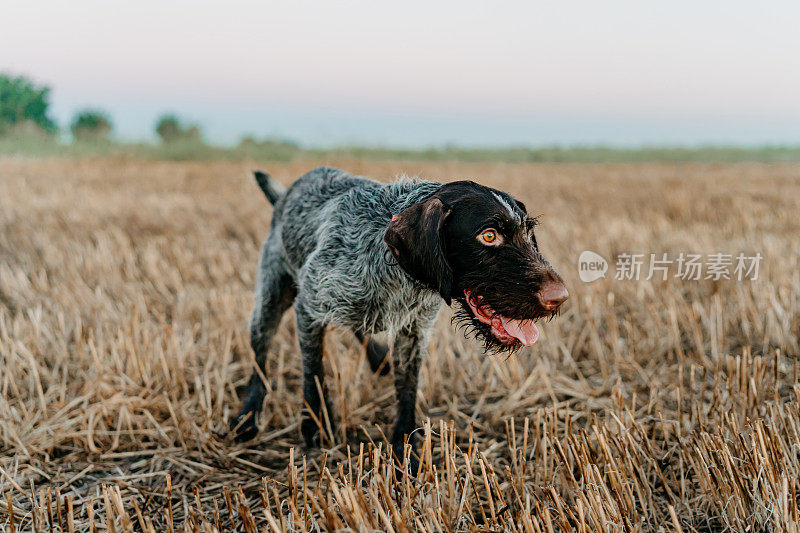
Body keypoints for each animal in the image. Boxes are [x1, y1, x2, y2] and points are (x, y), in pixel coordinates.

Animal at [231, 168, 568, 460]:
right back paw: (248, 415)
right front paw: (315, 425)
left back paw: (377, 358)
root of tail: (285, 194)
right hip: (270, 300)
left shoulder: (413, 332)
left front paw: (407, 450)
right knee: (260, 359)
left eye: (528, 233)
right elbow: (314, 372)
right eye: (488, 235)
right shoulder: (310, 307)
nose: (560, 297)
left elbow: (407, 389)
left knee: (359, 327)